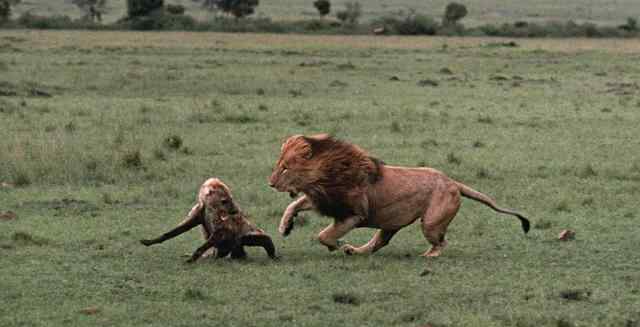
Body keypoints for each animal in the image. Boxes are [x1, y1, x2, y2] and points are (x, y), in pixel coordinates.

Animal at [141, 178, 276, 262]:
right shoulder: (199, 214)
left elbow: (211, 239)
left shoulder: (222, 227)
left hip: (246, 236)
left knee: (263, 240)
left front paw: (191, 259)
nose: (236, 211)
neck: (209, 208)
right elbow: (175, 231)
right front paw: (148, 241)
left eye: (231, 198)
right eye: (225, 200)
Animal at [268, 135, 528, 258]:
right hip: (391, 223)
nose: (270, 183)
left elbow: (324, 235)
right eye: (279, 165)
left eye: (285, 168)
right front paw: (284, 227)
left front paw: (336, 244)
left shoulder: (353, 213)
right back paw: (356, 251)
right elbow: (294, 205)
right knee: (379, 242)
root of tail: (453, 182)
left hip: (431, 223)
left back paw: (429, 255)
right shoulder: (324, 199)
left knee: (442, 241)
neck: (325, 176)